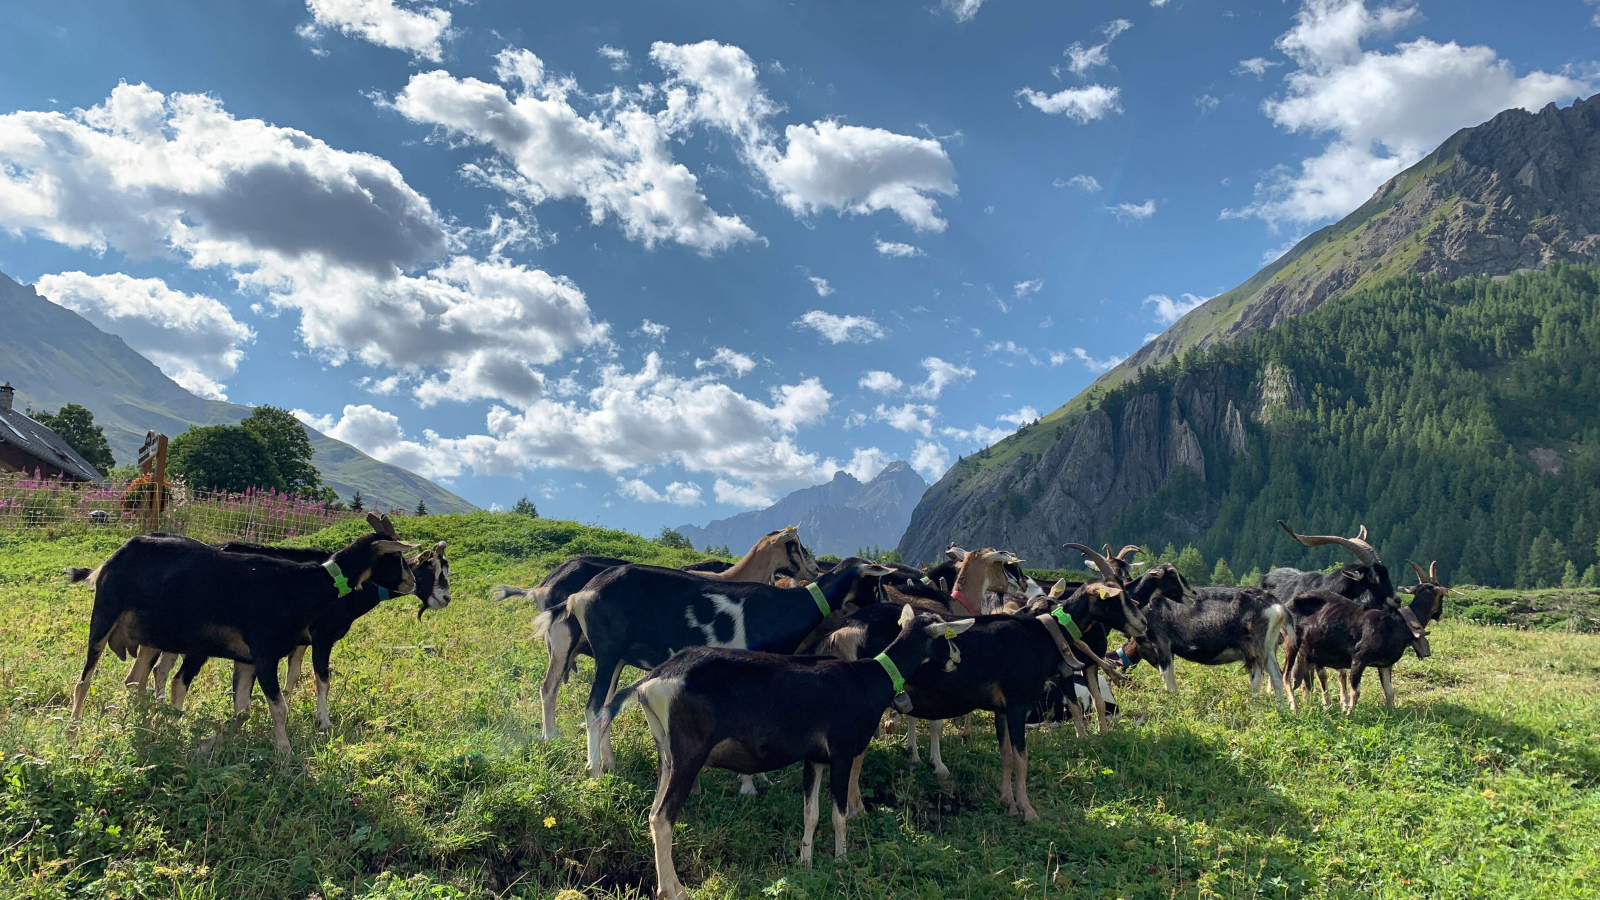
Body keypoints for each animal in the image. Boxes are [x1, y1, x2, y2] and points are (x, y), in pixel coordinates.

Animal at [68, 512, 419, 749]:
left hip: (151, 637)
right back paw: (74, 732)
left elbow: (244, 711)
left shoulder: (248, 660)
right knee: (84, 682)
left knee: (135, 680)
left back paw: (145, 725)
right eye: (396, 556)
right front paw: (285, 754)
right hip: (105, 617)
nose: (412, 582)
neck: (306, 585)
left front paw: (213, 741)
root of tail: (113, 558)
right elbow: (280, 707)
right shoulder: (265, 654)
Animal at [496, 522, 825, 739]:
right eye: (795, 545)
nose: (815, 570)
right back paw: (551, 735)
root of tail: (543, 586)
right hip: (564, 640)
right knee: (549, 687)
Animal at [544, 550, 896, 775]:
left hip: (615, 657)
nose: (890, 607)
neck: (788, 607)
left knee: (605, 706)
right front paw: (754, 779)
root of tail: (582, 594)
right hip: (607, 650)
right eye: (877, 582)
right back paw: (593, 769)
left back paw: (609, 763)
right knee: (592, 708)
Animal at [1286, 557, 1452, 711]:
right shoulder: (1359, 658)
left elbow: (1389, 691)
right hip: (1292, 644)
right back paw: (1295, 707)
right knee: (1287, 675)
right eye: (1441, 597)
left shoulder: (1385, 664)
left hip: (1307, 652)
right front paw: (1349, 714)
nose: (1439, 615)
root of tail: (1292, 602)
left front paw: (1391, 714)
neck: (1401, 621)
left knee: (1301, 677)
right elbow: (1356, 690)